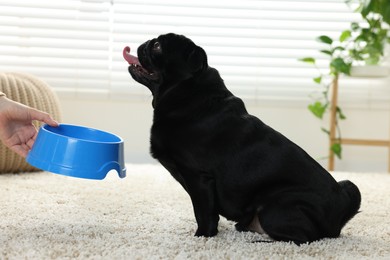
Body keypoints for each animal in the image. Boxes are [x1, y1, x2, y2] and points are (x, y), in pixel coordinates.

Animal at [123, 32, 362, 244]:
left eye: (157, 47)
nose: (145, 43)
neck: (187, 93)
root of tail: (338, 215)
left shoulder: (199, 178)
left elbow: (203, 213)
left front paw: (203, 236)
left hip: (274, 207)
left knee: (303, 239)